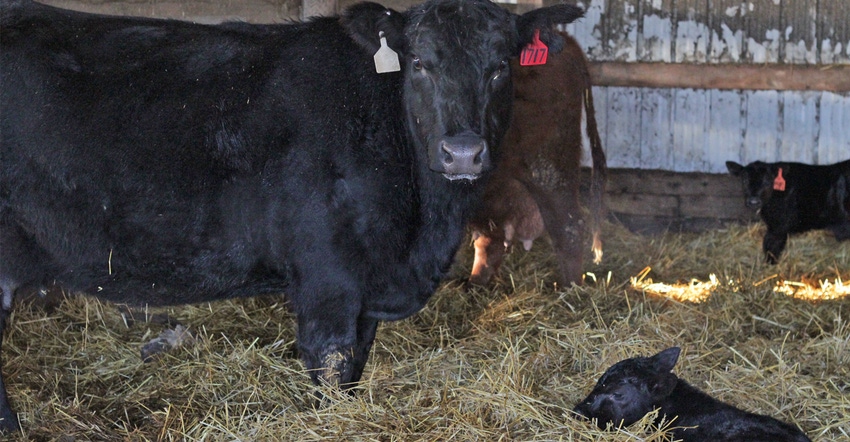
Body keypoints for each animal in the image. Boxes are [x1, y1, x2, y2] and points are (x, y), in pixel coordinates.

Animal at [0, 0, 584, 430]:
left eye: (500, 67)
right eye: (420, 63)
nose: (462, 152)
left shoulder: (365, 293)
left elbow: (354, 368)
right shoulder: (328, 277)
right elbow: (330, 365)